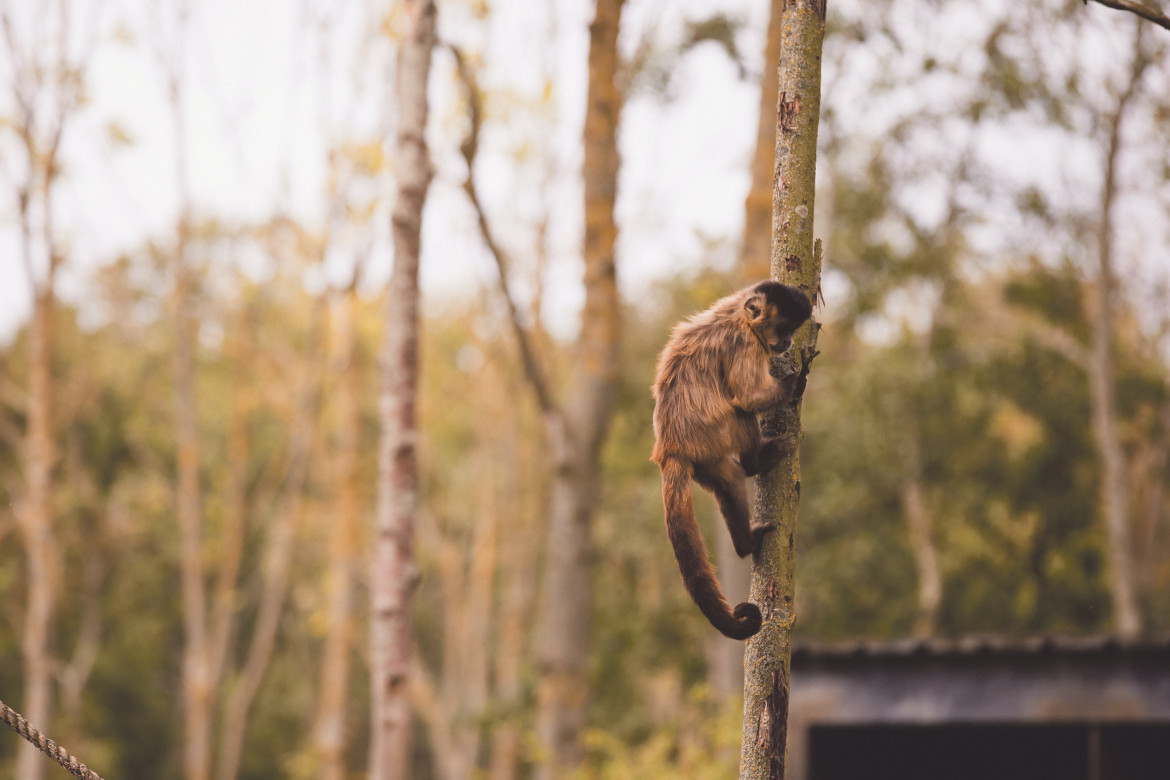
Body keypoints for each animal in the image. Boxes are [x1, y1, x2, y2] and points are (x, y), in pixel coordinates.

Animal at [650, 280, 814, 640]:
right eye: (783, 328)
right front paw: (796, 382)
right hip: (716, 429)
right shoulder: (745, 344)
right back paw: (757, 461)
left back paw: (745, 544)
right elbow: (749, 397)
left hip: (705, 452)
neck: (739, 314)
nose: (787, 342)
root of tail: (670, 447)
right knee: (740, 413)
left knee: (730, 478)